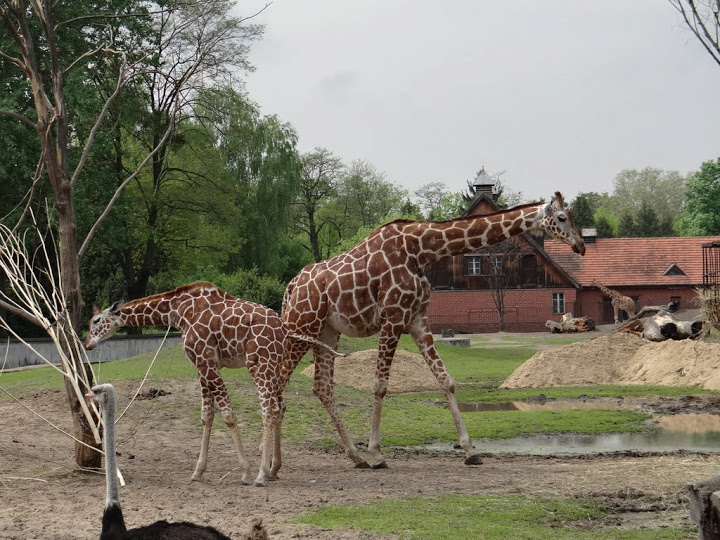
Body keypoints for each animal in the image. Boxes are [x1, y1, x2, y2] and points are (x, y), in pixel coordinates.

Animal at [84, 281, 340, 487]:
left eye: (96, 321)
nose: (87, 344)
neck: (179, 312)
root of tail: (284, 329)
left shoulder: (206, 361)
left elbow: (228, 415)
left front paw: (245, 472)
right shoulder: (201, 364)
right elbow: (207, 416)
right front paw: (198, 471)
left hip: (259, 364)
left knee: (268, 410)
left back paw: (260, 475)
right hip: (274, 364)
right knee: (279, 407)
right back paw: (272, 469)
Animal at [279, 192, 586, 469]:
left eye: (571, 216)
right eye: (561, 217)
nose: (581, 245)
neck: (421, 249)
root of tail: (291, 287)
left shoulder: (417, 319)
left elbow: (445, 380)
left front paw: (470, 451)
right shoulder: (393, 317)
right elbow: (379, 386)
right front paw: (377, 454)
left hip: (326, 331)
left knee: (321, 386)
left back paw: (354, 457)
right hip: (301, 326)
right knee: (279, 377)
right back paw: (274, 466)